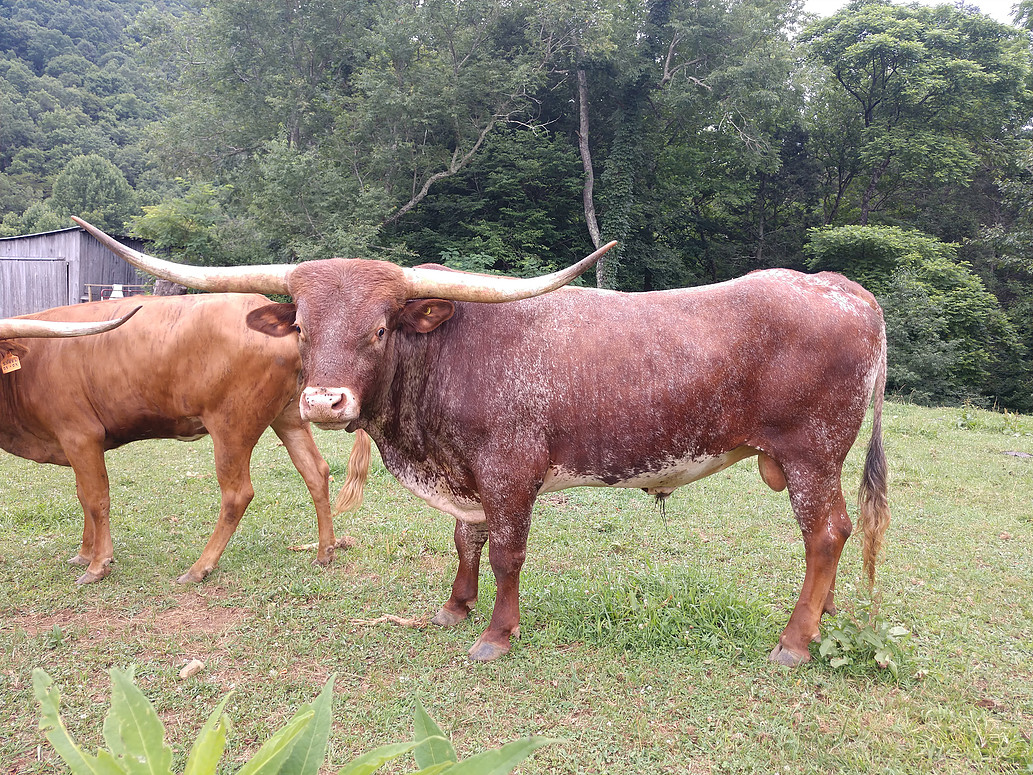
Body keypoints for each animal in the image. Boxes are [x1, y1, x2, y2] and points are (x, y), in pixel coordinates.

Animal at [76, 215, 892, 665]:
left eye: (380, 328)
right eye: (302, 327)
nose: (323, 401)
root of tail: (840, 285)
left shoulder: (509, 473)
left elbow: (505, 552)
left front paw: (496, 634)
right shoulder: (465, 477)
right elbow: (465, 543)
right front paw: (454, 608)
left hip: (811, 454)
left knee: (826, 533)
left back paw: (793, 642)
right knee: (837, 533)